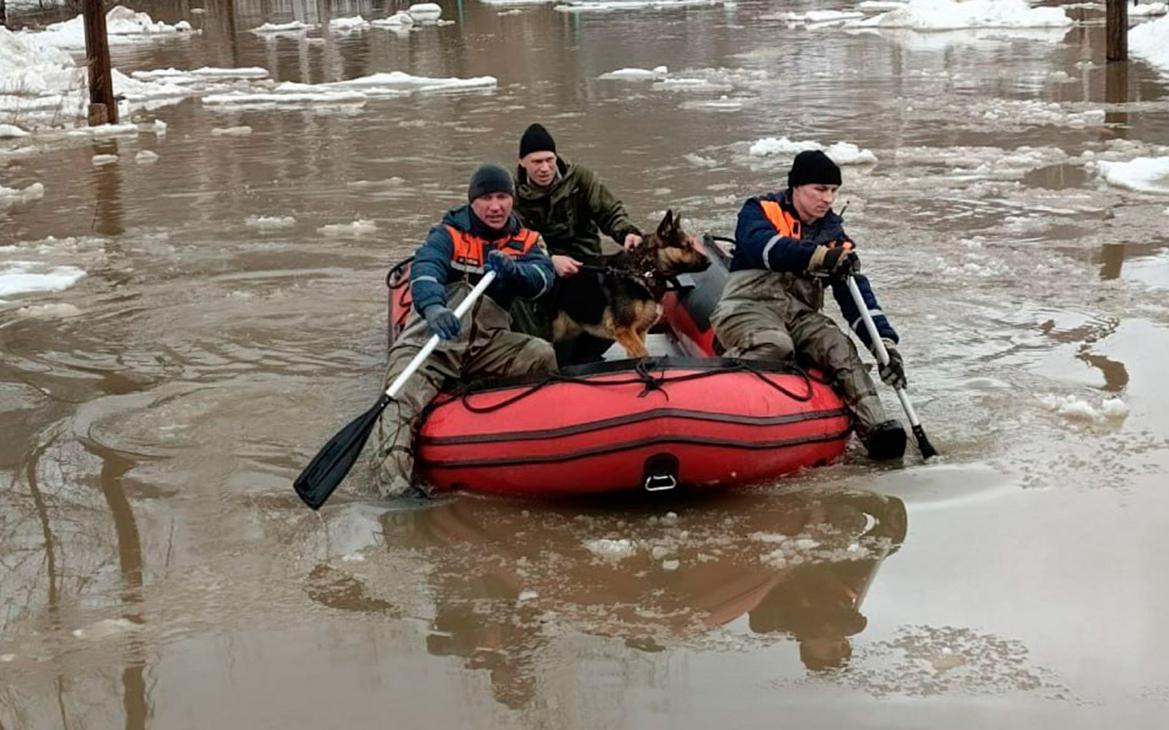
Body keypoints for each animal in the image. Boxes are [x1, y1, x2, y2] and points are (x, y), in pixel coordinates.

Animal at [549, 208, 706, 360]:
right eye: (686, 246)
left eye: (692, 244)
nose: (709, 261)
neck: (644, 269)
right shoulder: (623, 330)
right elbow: (643, 354)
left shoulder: (639, 331)